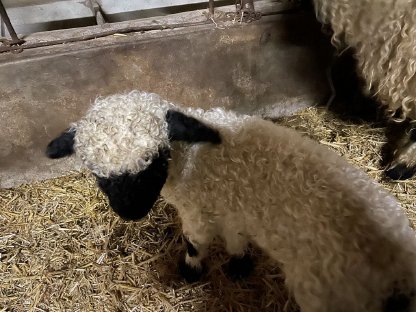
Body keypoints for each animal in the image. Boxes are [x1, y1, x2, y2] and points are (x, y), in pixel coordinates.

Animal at [45, 91, 416, 312]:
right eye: (98, 174)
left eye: (158, 159)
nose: (131, 212)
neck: (191, 158)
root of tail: (401, 261)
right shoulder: (233, 207)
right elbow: (236, 240)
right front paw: (238, 266)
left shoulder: (196, 210)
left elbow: (195, 242)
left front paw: (190, 272)